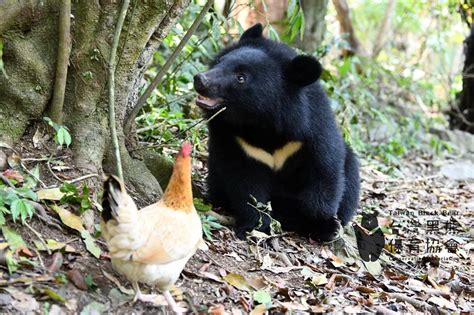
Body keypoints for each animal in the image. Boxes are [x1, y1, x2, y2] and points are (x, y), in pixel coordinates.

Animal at [193, 24, 360, 242]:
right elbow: (245, 183)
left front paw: (321, 223)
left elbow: (324, 171)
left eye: (241, 78)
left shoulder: (312, 129)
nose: (200, 79)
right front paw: (255, 226)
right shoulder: (236, 140)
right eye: (220, 62)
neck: (262, 123)